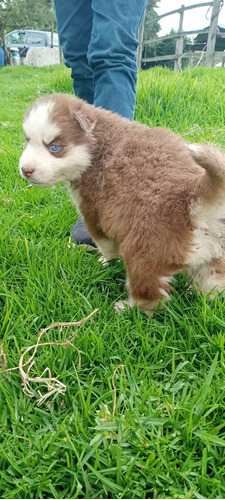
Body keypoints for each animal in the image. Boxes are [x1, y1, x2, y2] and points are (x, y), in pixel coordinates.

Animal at [19, 92, 225, 314]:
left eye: (54, 147)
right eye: (27, 141)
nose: (25, 169)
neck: (97, 146)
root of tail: (192, 196)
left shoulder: (93, 210)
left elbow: (105, 244)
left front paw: (104, 261)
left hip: (143, 251)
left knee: (152, 295)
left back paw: (126, 307)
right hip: (215, 255)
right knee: (212, 285)